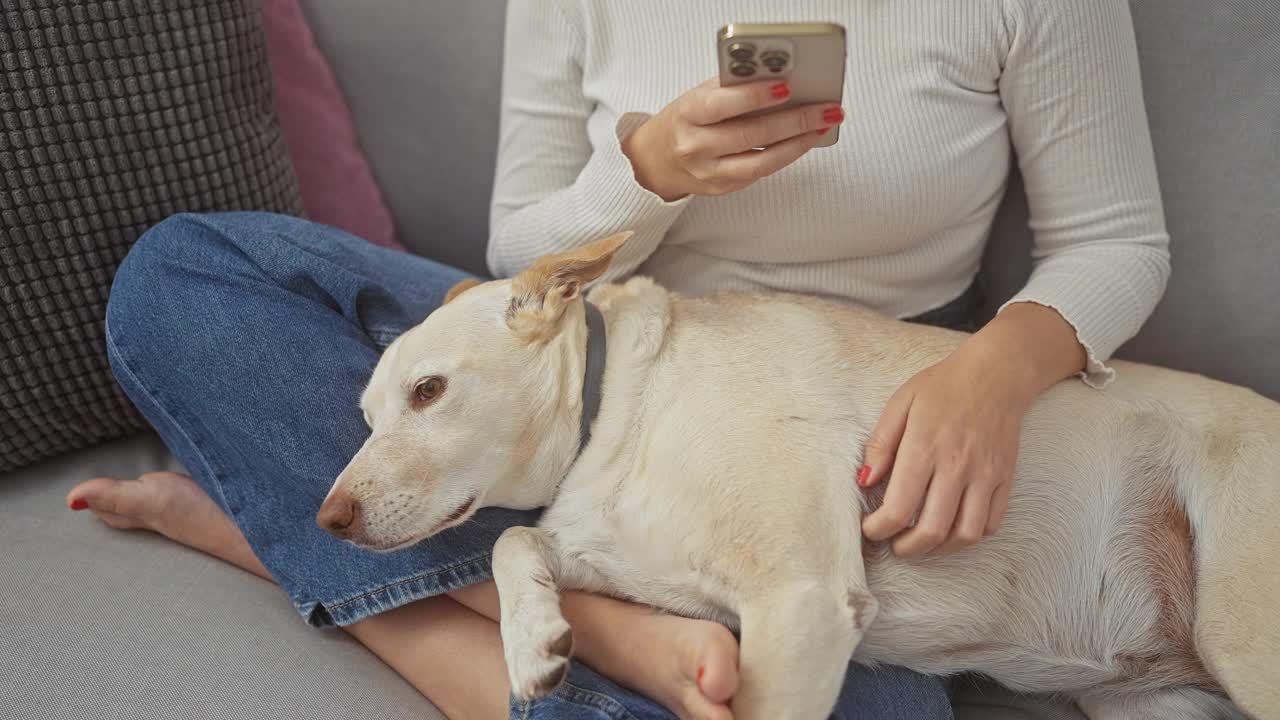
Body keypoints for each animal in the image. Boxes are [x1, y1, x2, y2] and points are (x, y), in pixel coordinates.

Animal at [314, 233, 1274, 712]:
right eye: (366, 416)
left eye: (429, 391)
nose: (328, 520)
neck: (613, 411)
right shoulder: (622, 555)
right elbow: (513, 542)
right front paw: (535, 642)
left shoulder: (801, 602)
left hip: (1242, 643)